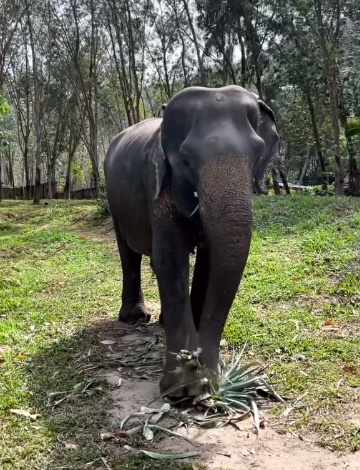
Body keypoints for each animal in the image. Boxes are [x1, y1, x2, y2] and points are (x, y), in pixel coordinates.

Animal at [102, 85, 280, 400]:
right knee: (128, 253)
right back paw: (135, 318)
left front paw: (201, 375)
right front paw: (181, 386)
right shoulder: (156, 184)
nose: (201, 367)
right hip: (114, 200)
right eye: (185, 161)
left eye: (258, 153)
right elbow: (170, 260)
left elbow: (210, 263)